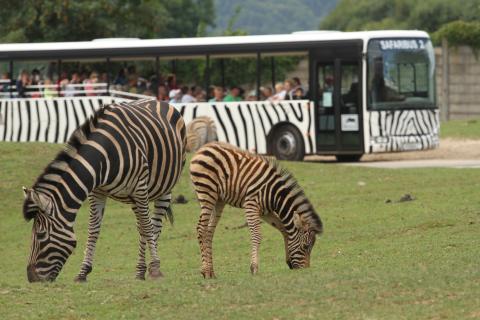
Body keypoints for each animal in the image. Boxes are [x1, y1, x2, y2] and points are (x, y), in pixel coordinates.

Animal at [23, 100, 187, 282]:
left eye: (40, 235)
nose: (31, 278)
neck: (104, 154)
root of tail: (157, 101)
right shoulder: (97, 191)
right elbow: (93, 229)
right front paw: (83, 272)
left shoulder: (139, 186)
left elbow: (147, 226)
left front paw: (156, 267)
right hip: (133, 197)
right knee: (142, 226)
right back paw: (140, 270)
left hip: (163, 188)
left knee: (153, 224)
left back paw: (150, 267)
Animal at [190, 142, 322, 278]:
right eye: (305, 246)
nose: (305, 270)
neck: (275, 194)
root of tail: (204, 147)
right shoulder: (251, 205)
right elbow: (257, 235)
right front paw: (254, 267)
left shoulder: (265, 211)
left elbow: (284, 229)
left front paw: (288, 260)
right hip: (207, 193)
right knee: (201, 228)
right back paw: (206, 271)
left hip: (219, 200)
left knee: (209, 231)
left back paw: (210, 271)